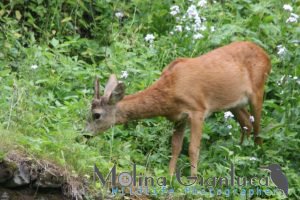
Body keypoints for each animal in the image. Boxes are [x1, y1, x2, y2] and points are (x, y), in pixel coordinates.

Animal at [85, 41, 270, 176]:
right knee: (247, 123)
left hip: (258, 90)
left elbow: (193, 149)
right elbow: (175, 146)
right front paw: (170, 176)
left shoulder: (197, 110)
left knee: (258, 129)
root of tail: (266, 55)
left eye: (96, 115)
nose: (85, 134)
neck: (170, 92)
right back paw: (241, 154)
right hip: (234, 103)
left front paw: (193, 181)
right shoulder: (179, 117)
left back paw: (259, 159)